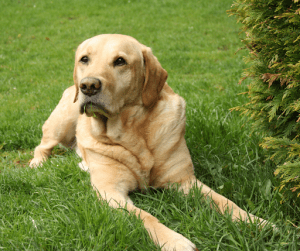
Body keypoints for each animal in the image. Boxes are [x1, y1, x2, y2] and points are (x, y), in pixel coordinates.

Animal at [29, 33, 270, 251]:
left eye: (120, 61)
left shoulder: (185, 181)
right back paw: (37, 163)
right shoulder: (110, 192)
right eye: (84, 59)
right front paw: (174, 240)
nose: (88, 85)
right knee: (42, 146)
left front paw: (256, 221)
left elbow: (224, 201)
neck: (130, 132)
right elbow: (145, 216)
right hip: (62, 122)